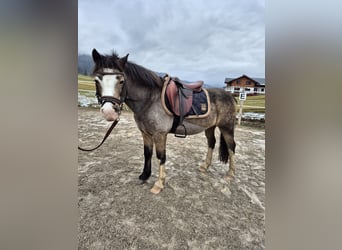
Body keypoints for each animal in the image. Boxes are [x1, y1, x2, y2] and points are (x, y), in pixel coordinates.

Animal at [89, 48, 236, 193]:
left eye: (121, 81)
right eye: (96, 81)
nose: (109, 112)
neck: (150, 99)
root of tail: (229, 95)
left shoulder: (160, 134)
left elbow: (161, 156)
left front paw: (159, 184)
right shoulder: (146, 133)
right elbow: (147, 153)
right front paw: (145, 175)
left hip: (226, 127)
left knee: (231, 147)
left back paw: (230, 175)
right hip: (210, 127)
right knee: (211, 143)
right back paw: (204, 166)